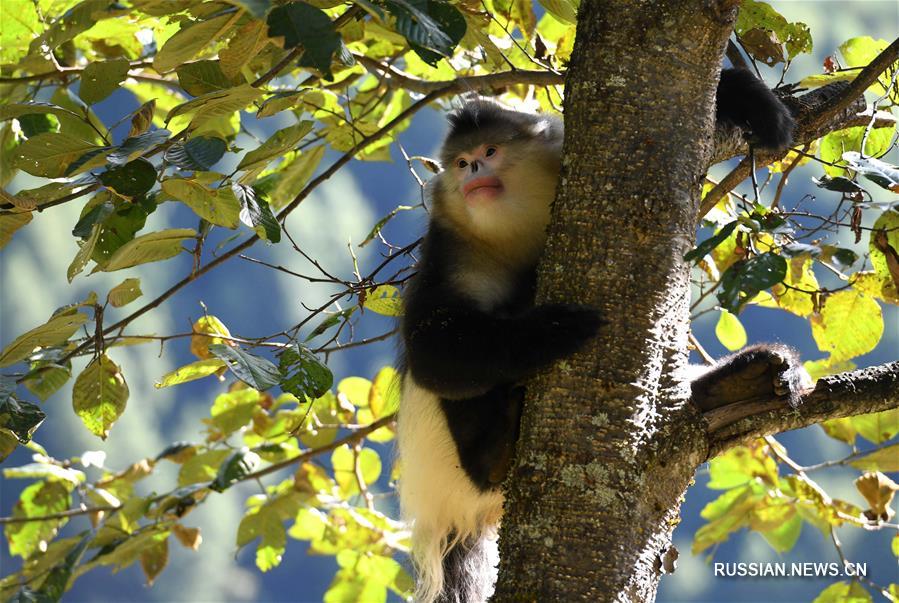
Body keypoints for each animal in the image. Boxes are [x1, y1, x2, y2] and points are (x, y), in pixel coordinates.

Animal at [398, 67, 812, 603]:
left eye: (489, 151)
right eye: (463, 161)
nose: (472, 173)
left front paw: (751, 100)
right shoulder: (450, 252)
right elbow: (430, 354)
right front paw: (552, 330)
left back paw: (740, 383)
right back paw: (495, 451)